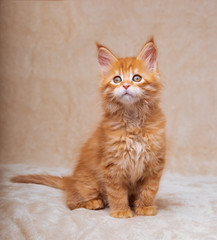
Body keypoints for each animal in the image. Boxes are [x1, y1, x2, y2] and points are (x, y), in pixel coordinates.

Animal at [10, 38, 166, 219]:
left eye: (137, 78)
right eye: (117, 79)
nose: (126, 85)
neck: (133, 120)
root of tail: (71, 180)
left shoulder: (154, 162)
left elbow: (149, 189)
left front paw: (145, 207)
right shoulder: (112, 165)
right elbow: (116, 192)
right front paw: (121, 211)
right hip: (88, 183)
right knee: (71, 201)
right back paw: (93, 202)